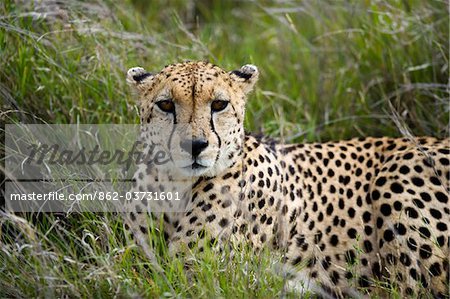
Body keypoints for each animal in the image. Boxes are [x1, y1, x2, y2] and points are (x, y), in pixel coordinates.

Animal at [125, 61, 450, 299]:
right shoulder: (137, 263)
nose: (194, 145)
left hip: (396, 180)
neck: (175, 186)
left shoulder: (202, 277)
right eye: (166, 105)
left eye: (218, 105)